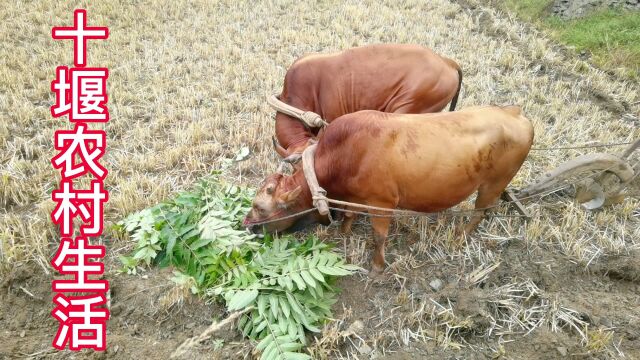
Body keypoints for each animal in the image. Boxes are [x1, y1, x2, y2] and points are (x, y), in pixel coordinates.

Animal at [242, 105, 532, 274]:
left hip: (493, 183)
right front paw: (345, 231)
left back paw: (461, 235)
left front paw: (377, 266)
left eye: (260, 207)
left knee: (480, 211)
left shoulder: (381, 203)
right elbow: (349, 214)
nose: (247, 226)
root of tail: (516, 113)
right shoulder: (356, 199)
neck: (346, 154)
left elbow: (379, 236)